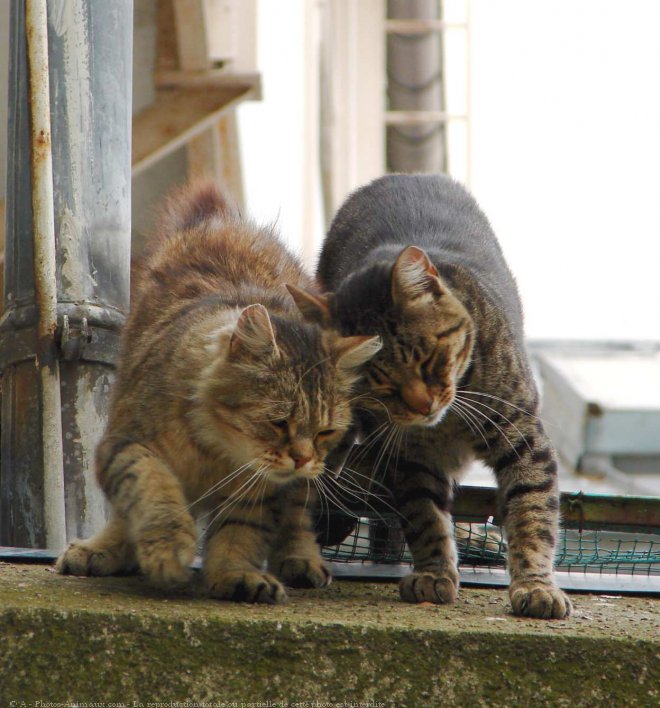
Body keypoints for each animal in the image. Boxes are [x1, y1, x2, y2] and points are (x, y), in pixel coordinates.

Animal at [55, 183, 382, 604]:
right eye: (278, 423)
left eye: (325, 432)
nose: (302, 458)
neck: (216, 451)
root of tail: (221, 222)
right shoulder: (126, 443)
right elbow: (153, 490)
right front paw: (168, 547)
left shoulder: (258, 489)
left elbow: (239, 533)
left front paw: (234, 576)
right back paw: (104, 550)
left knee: (299, 514)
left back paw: (300, 560)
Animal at [288, 174, 572, 616]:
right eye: (376, 385)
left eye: (425, 359)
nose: (423, 405)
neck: (448, 423)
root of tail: (397, 175)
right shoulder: (411, 455)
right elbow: (424, 516)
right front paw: (434, 573)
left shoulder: (523, 434)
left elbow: (532, 510)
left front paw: (536, 585)